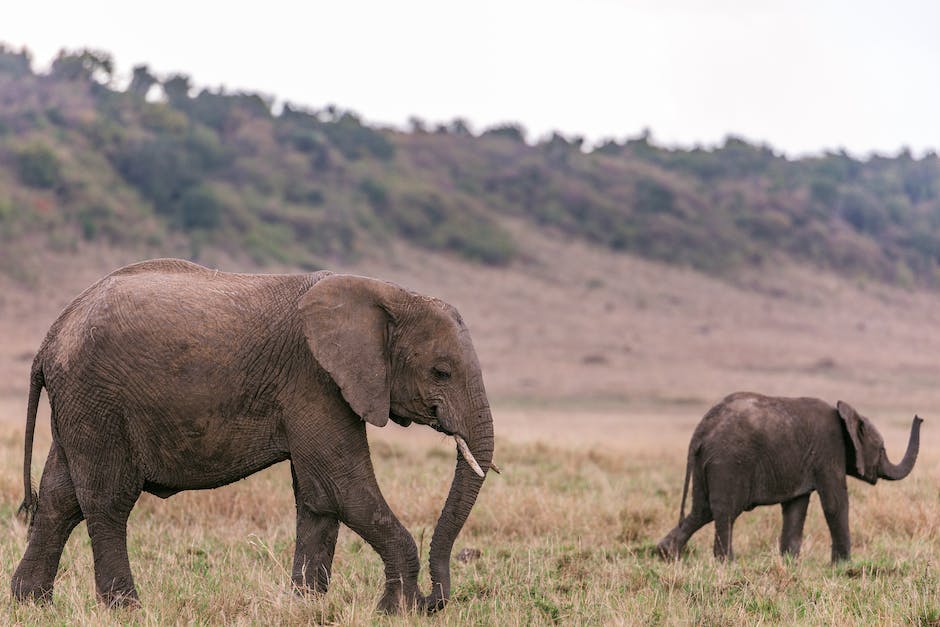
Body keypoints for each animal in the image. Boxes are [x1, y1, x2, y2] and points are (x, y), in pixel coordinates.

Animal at [11, 258, 496, 612]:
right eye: (441, 372)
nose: (435, 600)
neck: (388, 294)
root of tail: (52, 335)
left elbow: (319, 497)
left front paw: (305, 606)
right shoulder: (315, 381)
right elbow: (345, 489)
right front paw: (397, 611)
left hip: (80, 405)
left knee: (59, 498)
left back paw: (31, 603)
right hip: (98, 399)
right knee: (106, 500)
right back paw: (126, 609)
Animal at [656, 392, 920, 564]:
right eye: (882, 449)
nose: (920, 417)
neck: (847, 414)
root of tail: (701, 430)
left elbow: (796, 507)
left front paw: (790, 562)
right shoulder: (829, 451)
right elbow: (835, 504)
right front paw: (844, 566)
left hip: (706, 462)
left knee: (701, 509)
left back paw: (666, 554)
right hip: (729, 461)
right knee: (725, 510)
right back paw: (726, 563)